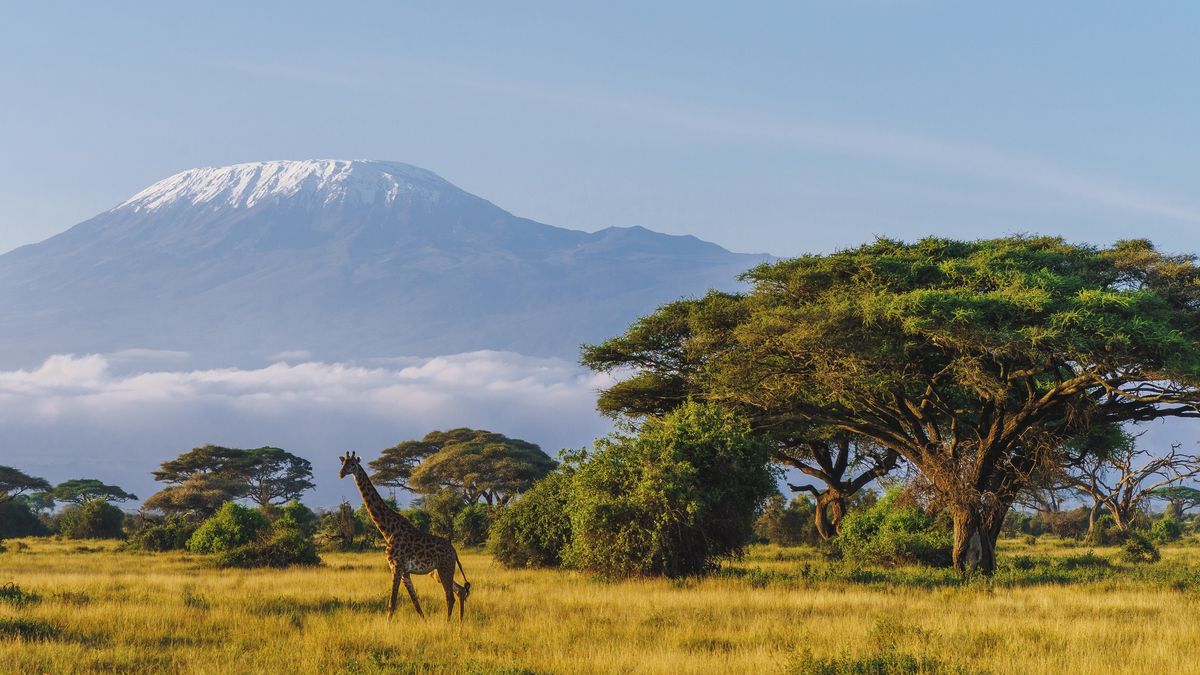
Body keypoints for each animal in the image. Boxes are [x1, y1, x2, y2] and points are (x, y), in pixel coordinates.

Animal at [338, 451, 471, 621]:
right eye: (343, 463)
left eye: (353, 464)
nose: (341, 473)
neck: (388, 530)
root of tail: (454, 551)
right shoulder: (405, 572)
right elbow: (416, 604)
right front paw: (425, 623)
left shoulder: (396, 567)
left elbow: (392, 604)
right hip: (437, 572)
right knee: (460, 590)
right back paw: (460, 623)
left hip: (444, 568)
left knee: (450, 597)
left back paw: (448, 624)